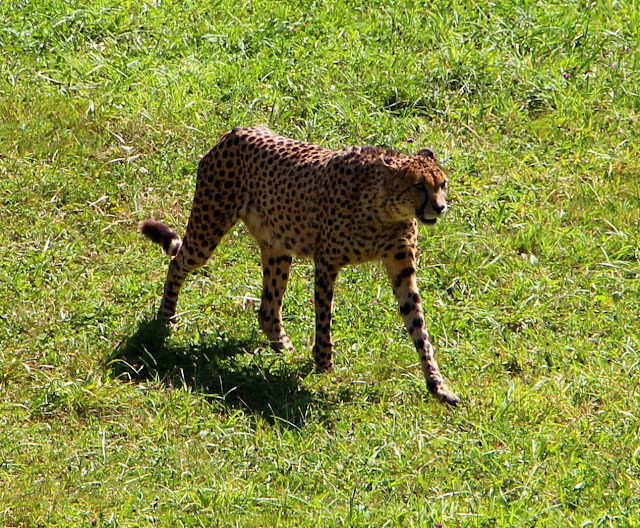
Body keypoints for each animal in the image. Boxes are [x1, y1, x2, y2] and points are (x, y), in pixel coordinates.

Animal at [141, 126, 460, 406]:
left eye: (442, 184)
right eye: (419, 186)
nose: (440, 207)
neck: (386, 211)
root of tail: (238, 131)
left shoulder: (402, 267)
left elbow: (418, 326)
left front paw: (438, 385)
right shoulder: (327, 262)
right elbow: (324, 317)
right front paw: (323, 363)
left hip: (278, 248)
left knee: (268, 309)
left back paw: (283, 348)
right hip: (208, 228)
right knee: (178, 262)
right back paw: (166, 317)